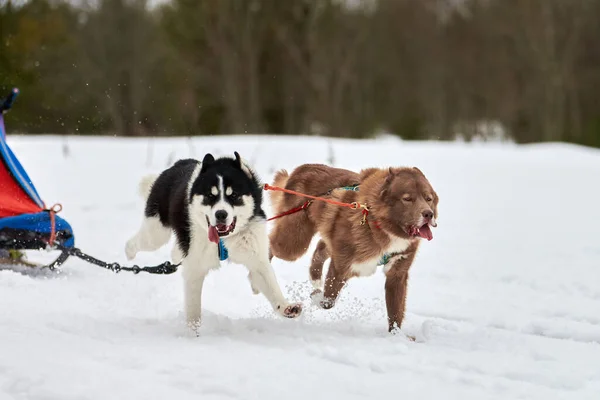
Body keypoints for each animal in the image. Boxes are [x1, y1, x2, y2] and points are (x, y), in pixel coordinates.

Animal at [270, 164, 438, 332]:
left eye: (428, 198)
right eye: (407, 199)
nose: (428, 214)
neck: (377, 222)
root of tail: (301, 168)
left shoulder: (397, 274)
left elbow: (396, 312)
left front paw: (396, 335)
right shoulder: (341, 265)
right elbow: (328, 301)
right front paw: (316, 297)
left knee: (320, 248)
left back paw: (315, 277)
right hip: (292, 244)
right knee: (272, 243)